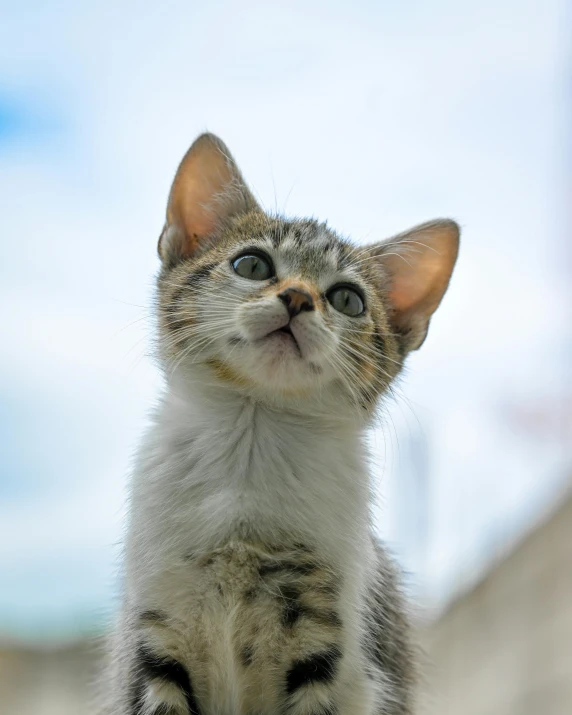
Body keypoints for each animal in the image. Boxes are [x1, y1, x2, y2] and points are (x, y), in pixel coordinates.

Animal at [100, 134, 460, 715]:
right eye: (251, 264)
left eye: (347, 299)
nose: (297, 297)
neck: (252, 439)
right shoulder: (153, 630)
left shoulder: (331, 646)